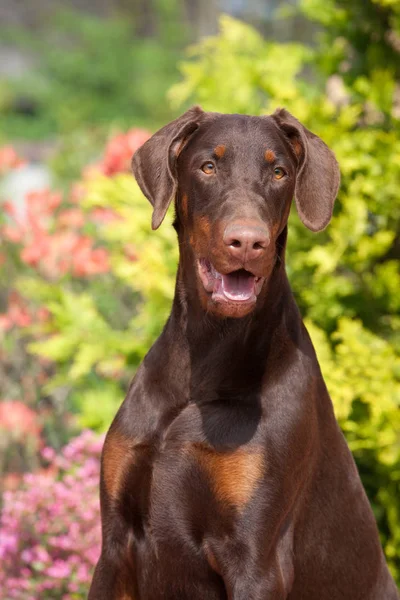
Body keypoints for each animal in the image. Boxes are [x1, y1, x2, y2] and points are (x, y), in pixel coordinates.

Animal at [87, 108, 396, 600]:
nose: (248, 242)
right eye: (208, 167)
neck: (203, 365)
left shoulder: (257, 562)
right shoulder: (115, 548)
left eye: (279, 172)